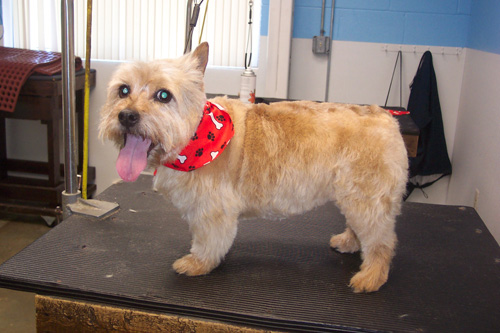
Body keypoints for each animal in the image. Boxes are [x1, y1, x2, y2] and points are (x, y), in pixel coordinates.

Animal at [99, 42, 408, 294]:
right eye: (123, 90)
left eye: (164, 95)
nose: (126, 116)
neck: (195, 137)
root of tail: (386, 116)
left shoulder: (213, 210)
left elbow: (208, 241)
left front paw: (198, 263)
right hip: (354, 197)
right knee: (363, 230)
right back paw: (349, 241)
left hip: (368, 199)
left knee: (382, 242)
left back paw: (371, 276)